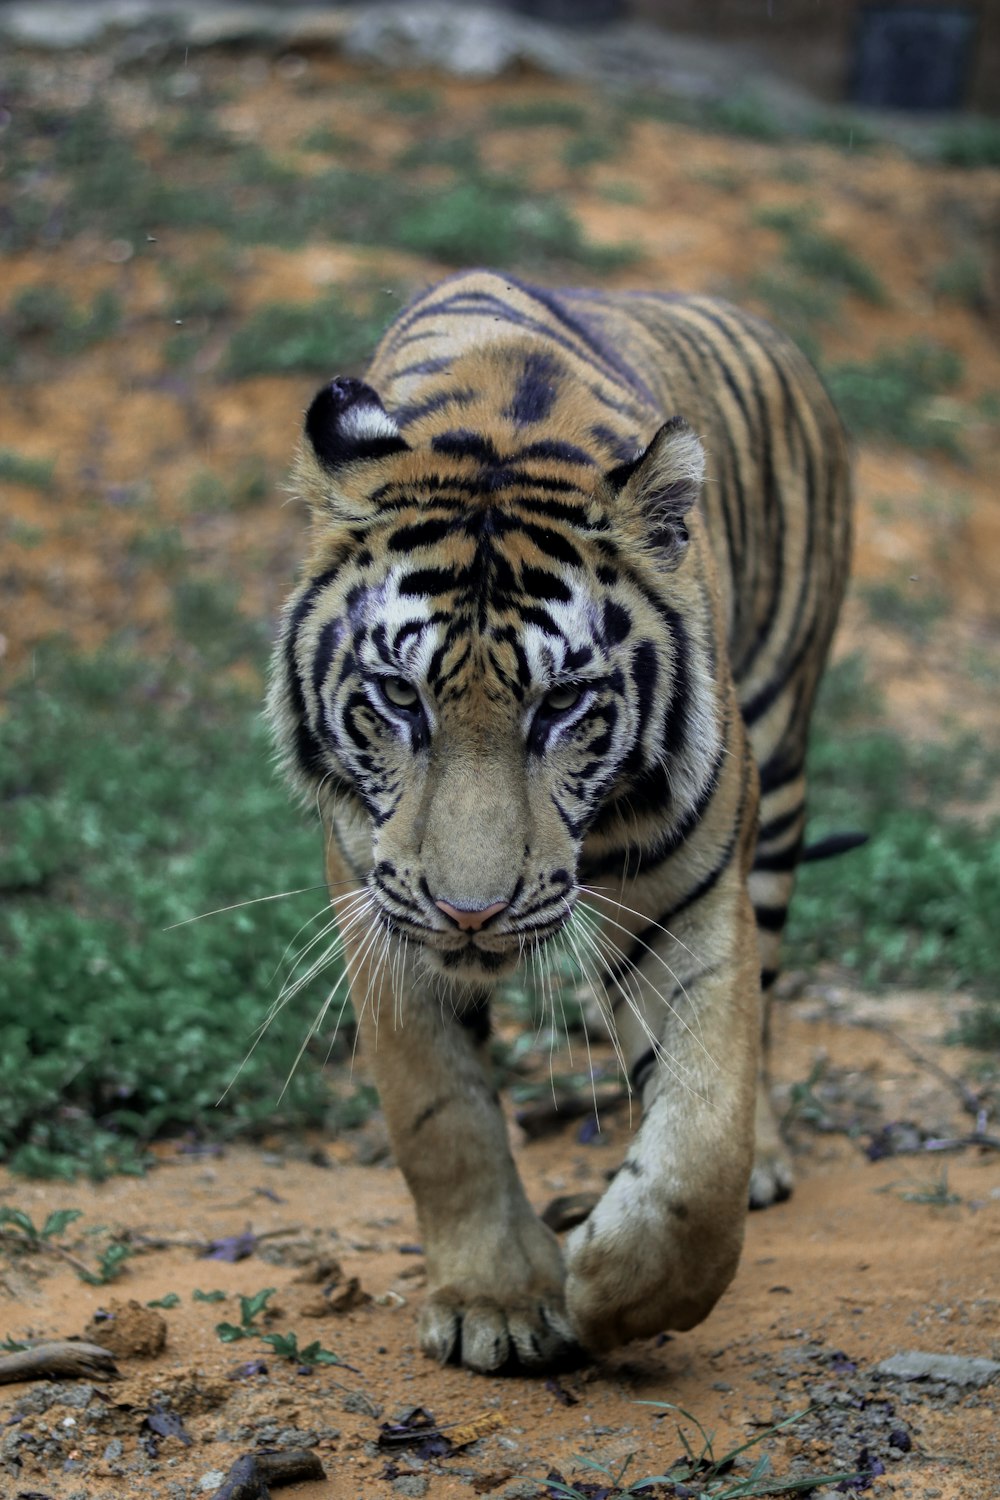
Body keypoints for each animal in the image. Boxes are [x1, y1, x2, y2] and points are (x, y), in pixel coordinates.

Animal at [265, 267, 851, 1374]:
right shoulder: (375, 898)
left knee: (763, 998)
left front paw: (616, 1294)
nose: (470, 914)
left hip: (784, 756)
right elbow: (440, 1115)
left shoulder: (692, 899)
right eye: (399, 697)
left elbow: (702, 1139)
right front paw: (496, 1300)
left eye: (562, 706)